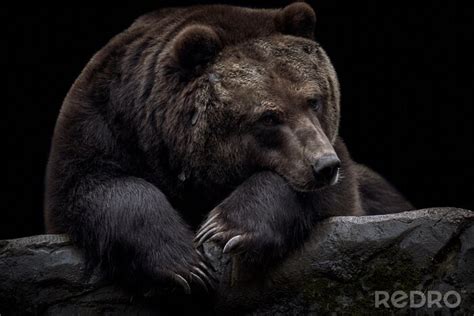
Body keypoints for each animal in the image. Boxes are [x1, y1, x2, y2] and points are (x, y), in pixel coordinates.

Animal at [46, 1, 412, 294]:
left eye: (314, 100)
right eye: (268, 116)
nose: (323, 166)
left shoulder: (337, 162)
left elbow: (326, 194)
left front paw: (226, 229)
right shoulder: (103, 120)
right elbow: (93, 185)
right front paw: (186, 266)